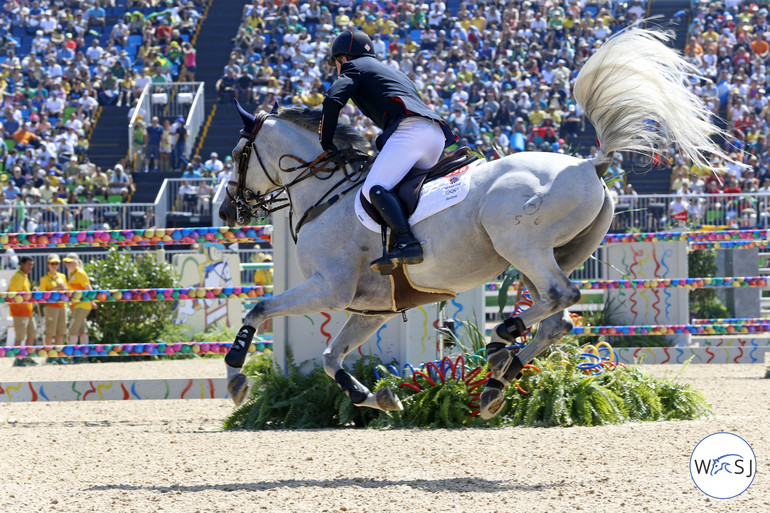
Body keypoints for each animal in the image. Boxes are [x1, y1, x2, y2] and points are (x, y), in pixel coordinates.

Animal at [218, 28, 732, 418]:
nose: (226, 211)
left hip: (519, 243)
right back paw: (495, 382)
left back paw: (502, 339)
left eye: (238, 154)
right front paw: (375, 397)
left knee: (560, 298)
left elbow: (258, 309)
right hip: (546, 255)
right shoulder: (369, 308)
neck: (327, 193)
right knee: (556, 319)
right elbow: (329, 357)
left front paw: (237, 375)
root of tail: (591, 164)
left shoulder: (330, 288)